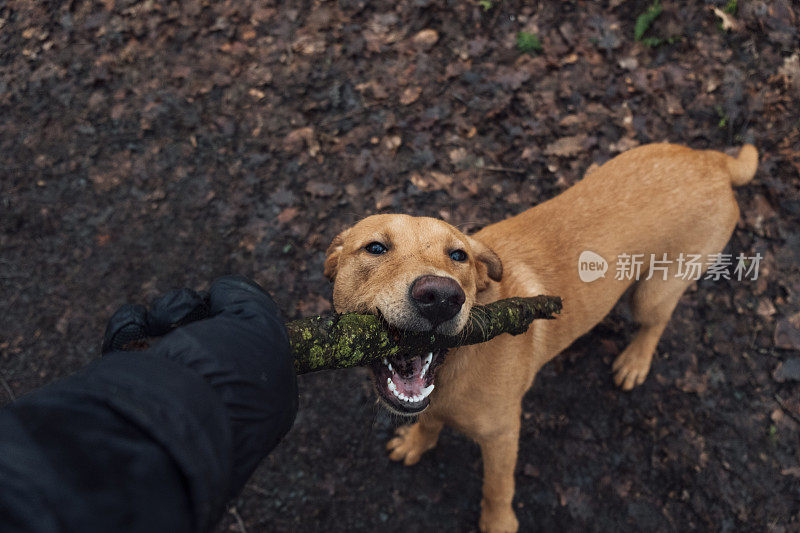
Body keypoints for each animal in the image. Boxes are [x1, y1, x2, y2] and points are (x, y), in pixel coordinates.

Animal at [320, 143, 756, 528]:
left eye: (458, 255)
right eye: (375, 248)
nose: (442, 297)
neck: (456, 368)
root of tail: (714, 161)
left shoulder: (503, 435)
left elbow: (497, 490)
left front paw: (498, 524)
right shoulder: (431, 405)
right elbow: (427, 423)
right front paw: (416, 443)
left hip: (654, 292)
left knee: (655, 322)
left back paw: (635, 361)